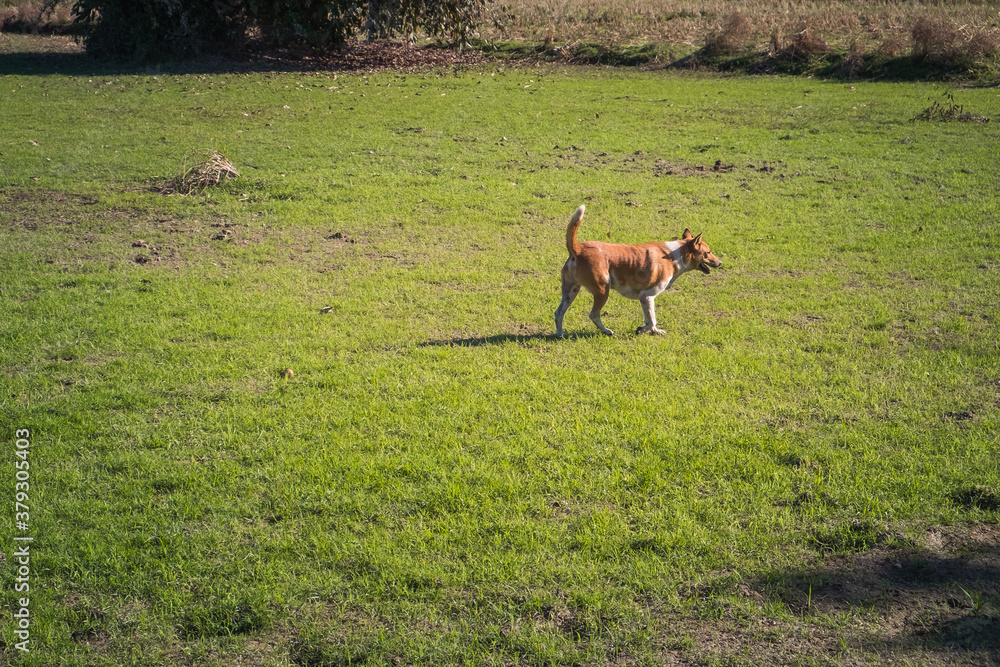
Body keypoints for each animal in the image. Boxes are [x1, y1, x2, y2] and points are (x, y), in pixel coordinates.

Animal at [552, 205, 724, 340]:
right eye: (708, 252)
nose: (720, 263)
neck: (674, 255)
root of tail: (578, 248)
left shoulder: (645, 299)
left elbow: (650, 320)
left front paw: (651, 331)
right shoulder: (647, 296)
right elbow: (651, 321)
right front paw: (642, 330)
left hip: (571, 291)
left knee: (558, 313)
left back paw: (560, 334)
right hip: (602, 291)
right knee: (593, 315)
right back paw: (606, 331)